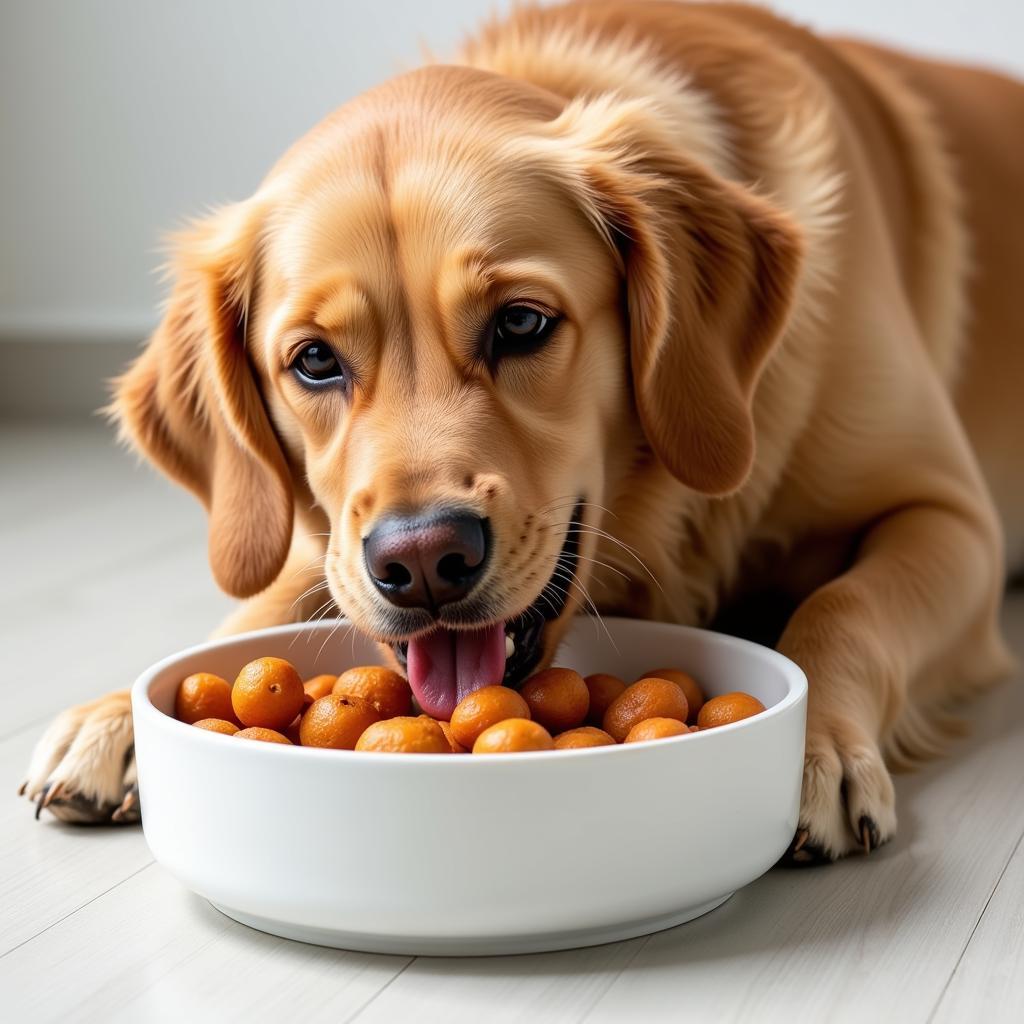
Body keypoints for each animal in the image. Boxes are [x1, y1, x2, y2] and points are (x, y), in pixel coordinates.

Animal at [19, 4, 1019, 860]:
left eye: (522, 323)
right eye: (312, 361)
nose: (422, 561)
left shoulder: (950, 516)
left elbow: (843, 609)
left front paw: (818, 749)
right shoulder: (327, 544)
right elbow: (258, 603)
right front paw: (114, 717)